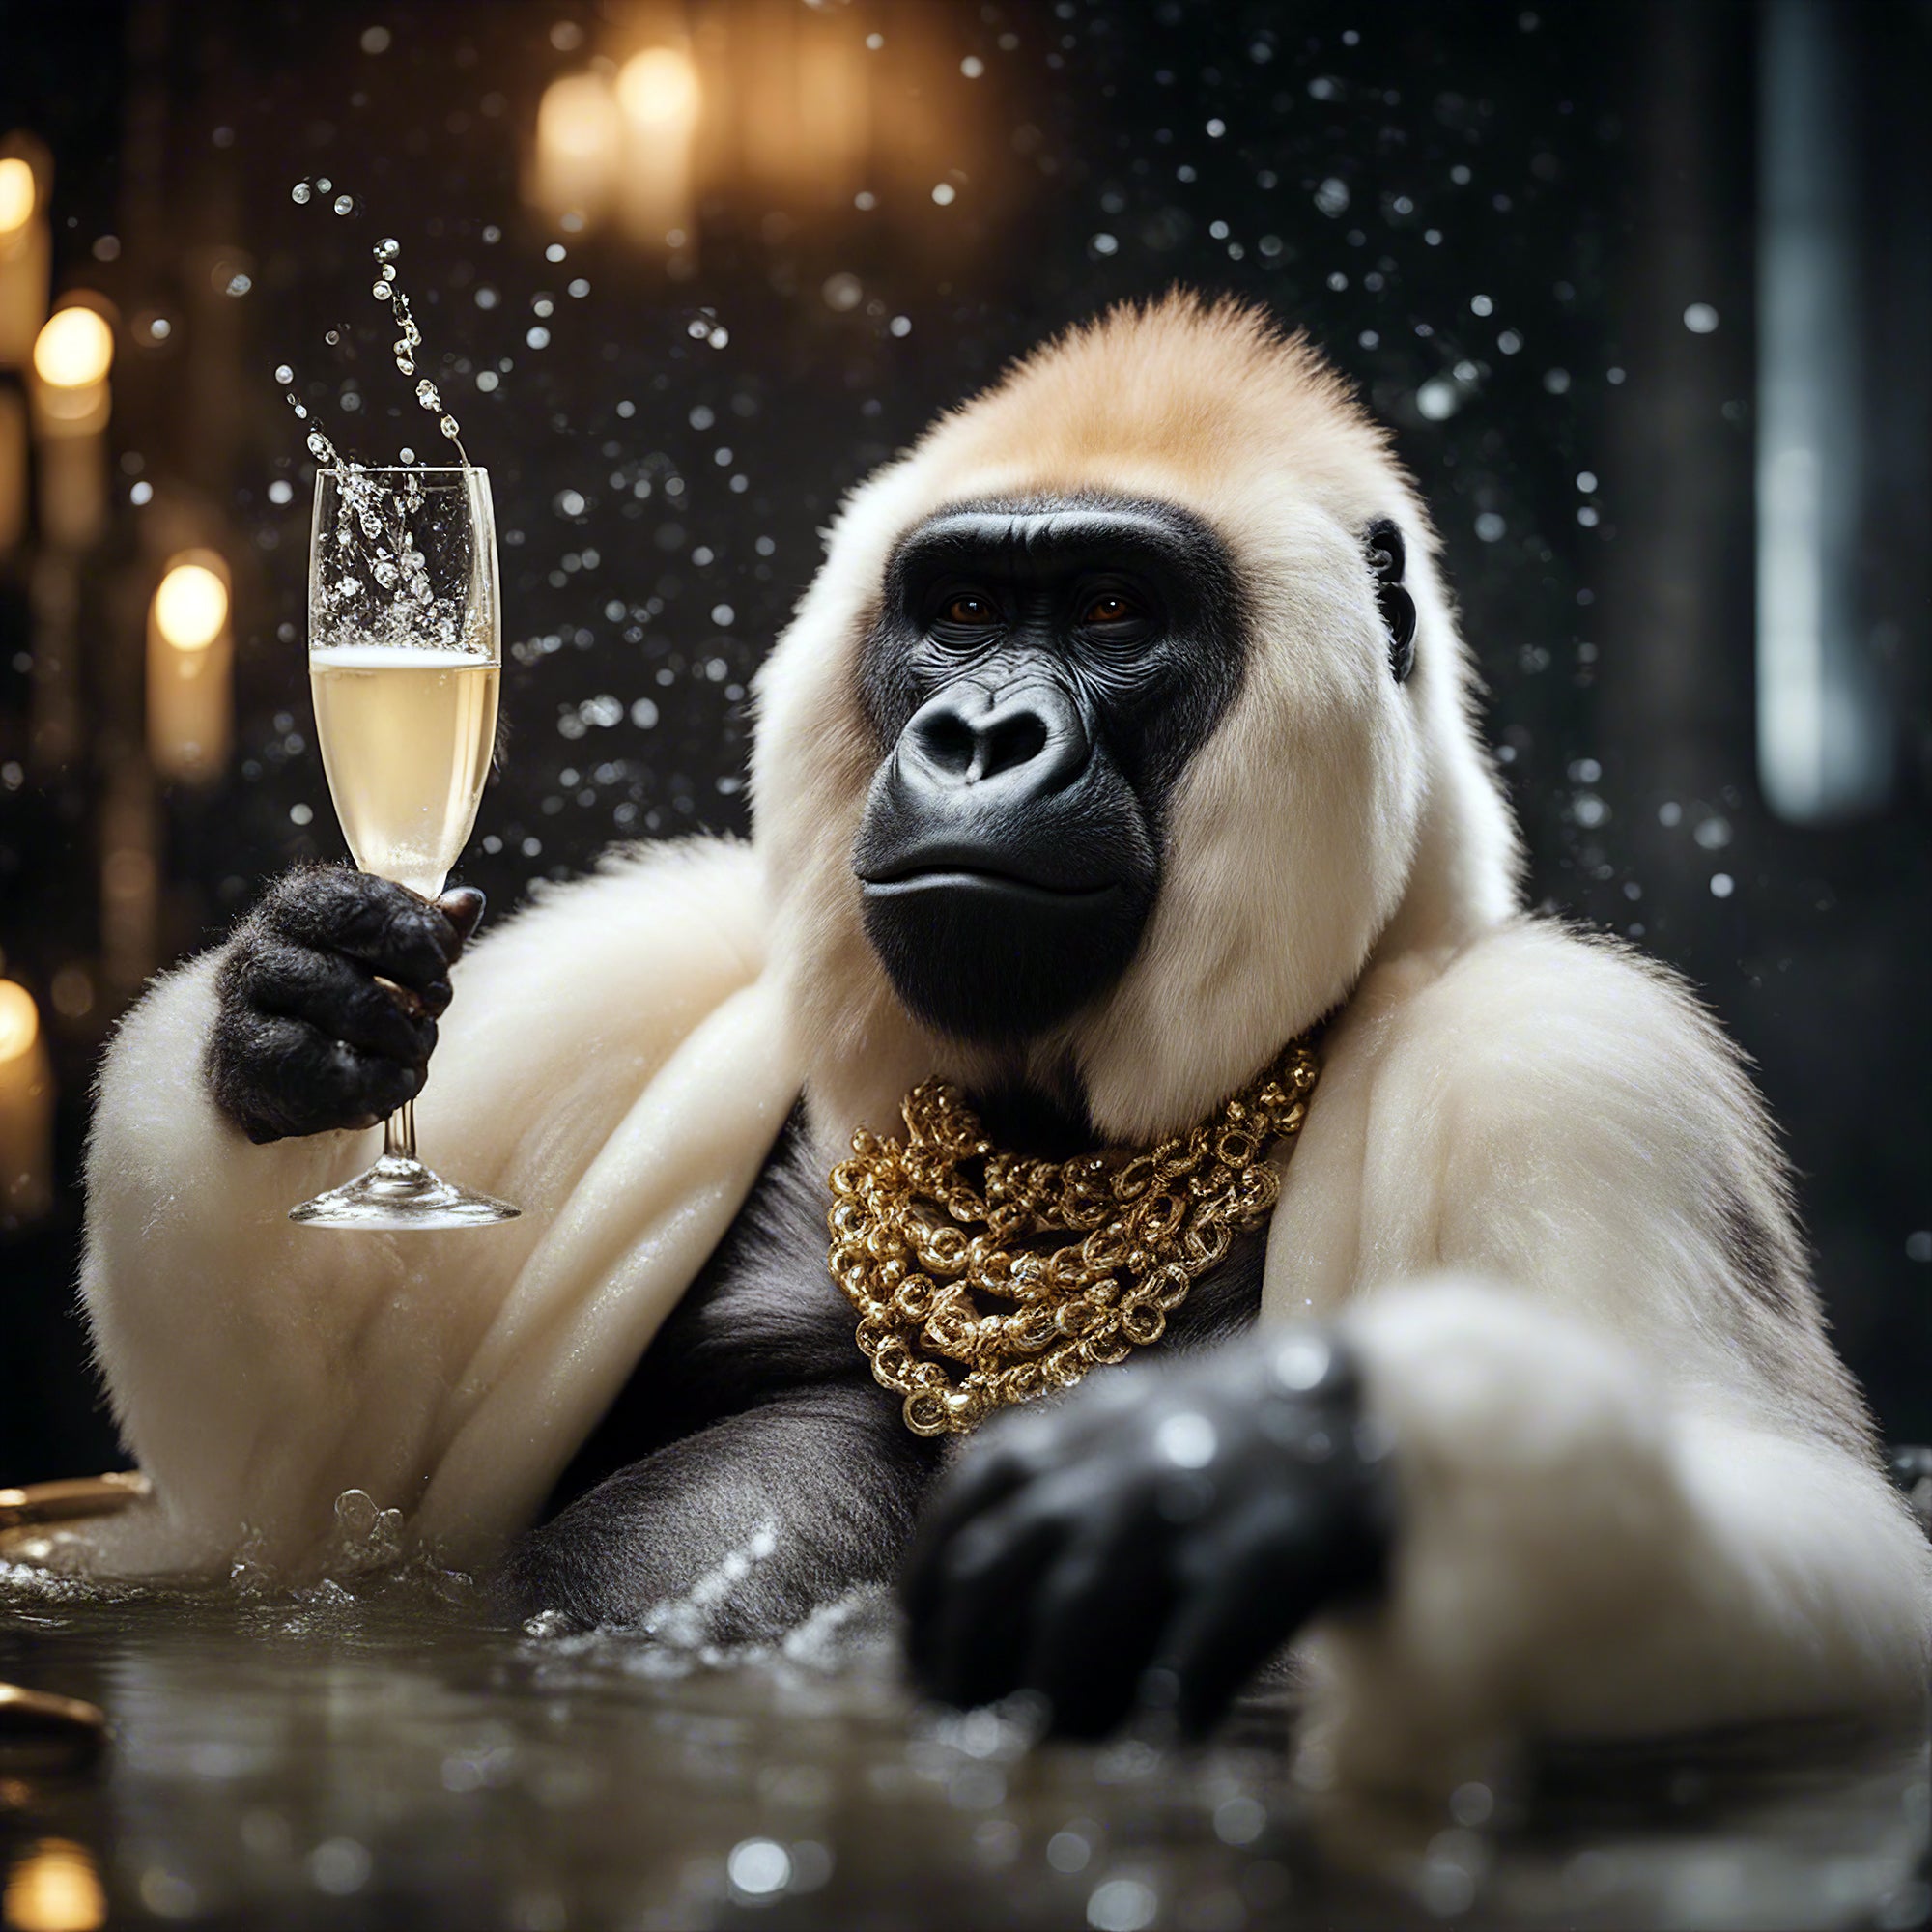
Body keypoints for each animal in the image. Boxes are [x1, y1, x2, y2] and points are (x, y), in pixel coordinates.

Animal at [77, 294, 1930, 1792]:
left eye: (1111, 610)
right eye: (961, 608)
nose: (980, 734)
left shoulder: (1568, 1064)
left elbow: (1832, 1568)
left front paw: (1282, 1464)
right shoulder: (640, 970)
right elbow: (277, 1500)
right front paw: (288, 1031)